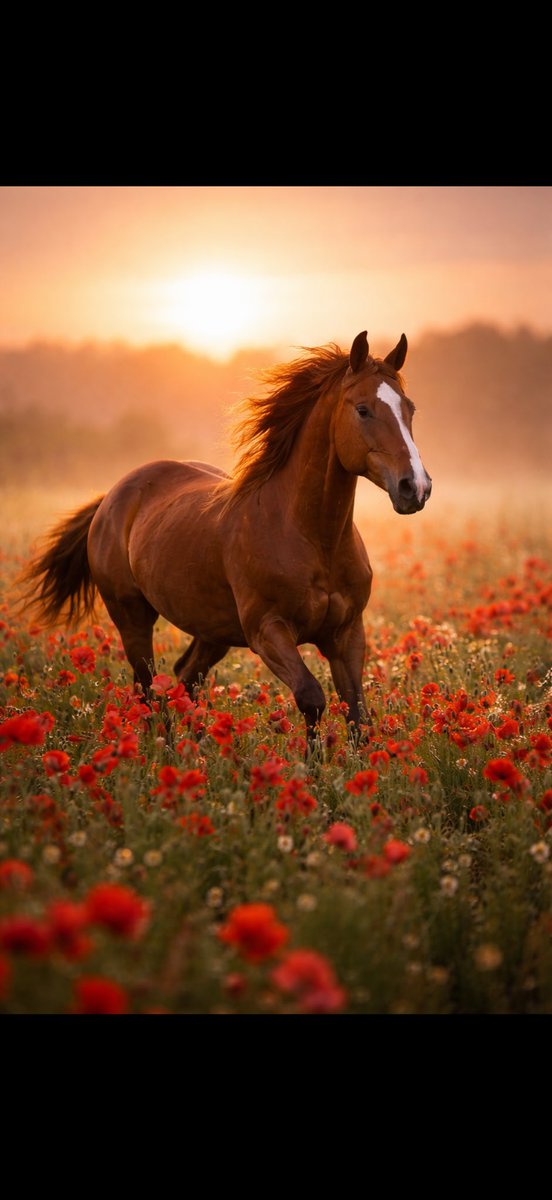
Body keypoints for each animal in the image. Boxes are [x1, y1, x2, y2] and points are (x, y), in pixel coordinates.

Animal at [21, 330, 432, 746]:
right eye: (363, 409)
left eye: (411, 408)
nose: (415, 487)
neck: (315, 538)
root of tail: (112, 497)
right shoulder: (267, 631)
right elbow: (312, 698)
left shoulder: (347, 635)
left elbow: (358, 718)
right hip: (133, 618)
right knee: (147, 690)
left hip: (212, 633)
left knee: (182, 681)